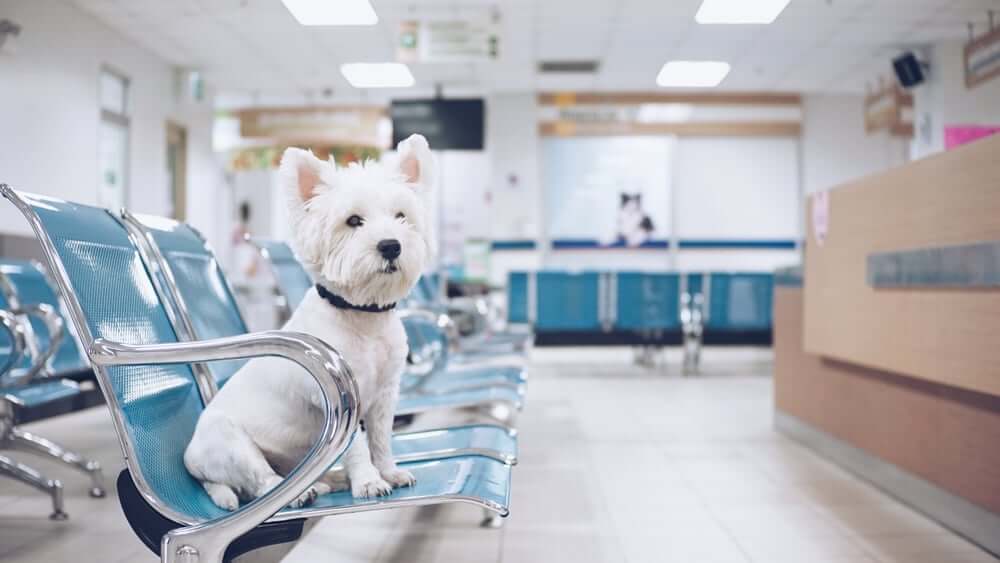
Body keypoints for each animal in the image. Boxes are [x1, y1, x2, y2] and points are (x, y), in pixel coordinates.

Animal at [186, 134, 436, 508]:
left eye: (401, 216)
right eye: (353, 221)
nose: (391, 246)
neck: (362, 316)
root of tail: (190, 461)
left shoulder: (385, 396)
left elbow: (380, 439)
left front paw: (389, 472)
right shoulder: (344, 400)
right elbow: (357, 446)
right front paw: (368, 482)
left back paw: (326, 481)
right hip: (230, 442)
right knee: (260, 483)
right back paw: (301, 492)